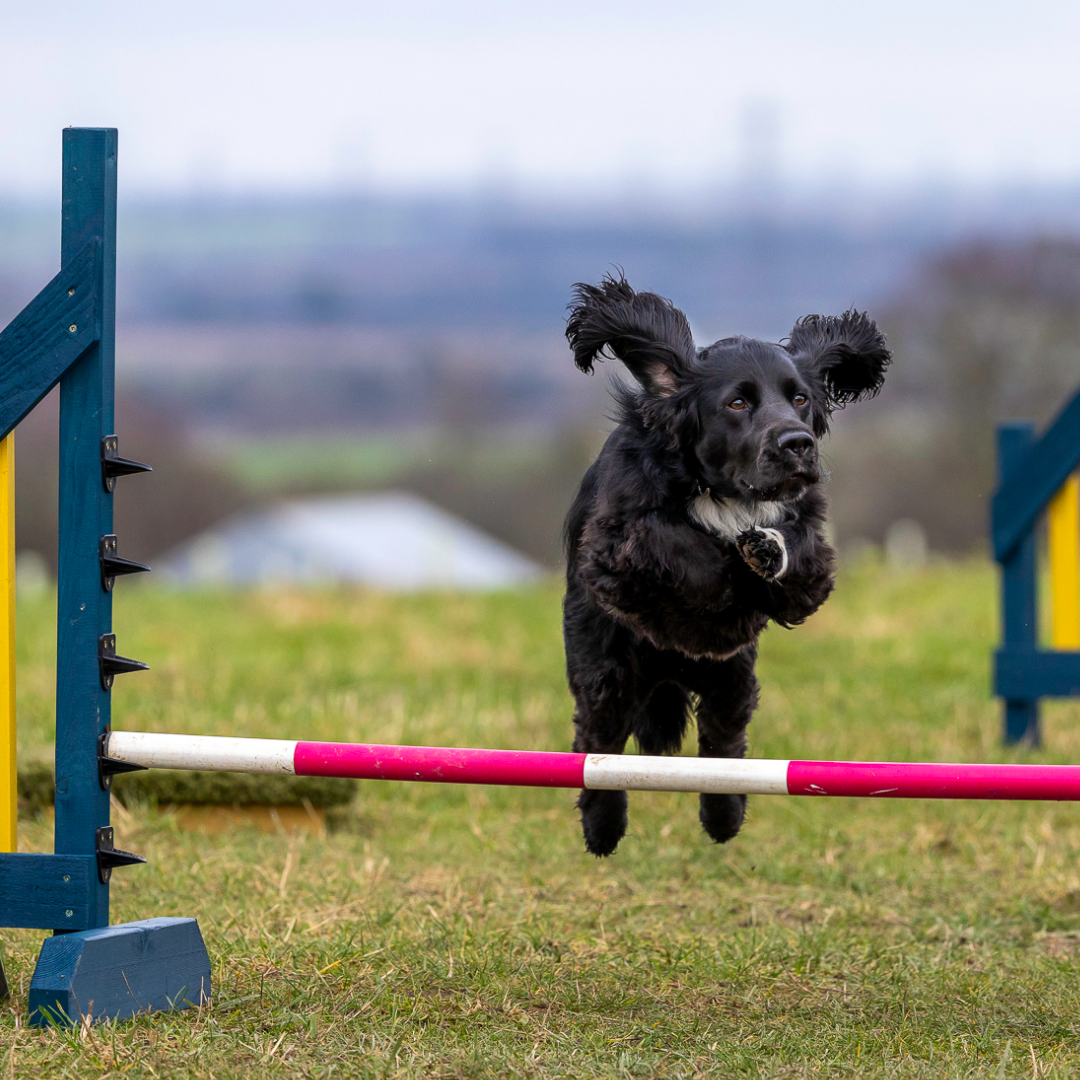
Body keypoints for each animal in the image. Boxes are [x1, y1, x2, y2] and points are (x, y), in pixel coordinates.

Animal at [561, 274, 889, 855]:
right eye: (737, 402)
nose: (798, 443)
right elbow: (680, 547)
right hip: (606, 671)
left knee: (723, 745)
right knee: (598, 745)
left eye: (800, 398)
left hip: (731, 680)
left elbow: (798, 555)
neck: (725, 492)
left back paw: (724, 815)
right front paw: (724, 580)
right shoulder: (615, 545)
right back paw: (603, 828)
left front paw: (763, 552)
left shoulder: (808, 543)